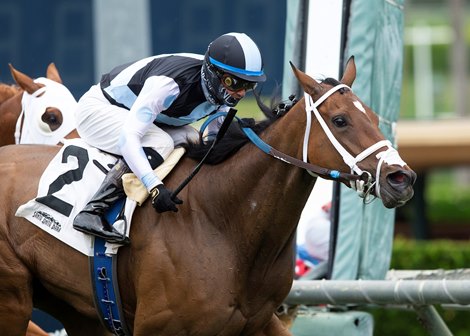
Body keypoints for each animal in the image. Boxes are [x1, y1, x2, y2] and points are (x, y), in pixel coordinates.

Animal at [0, 56, 414, 334]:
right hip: (14, 299)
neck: (224, 221)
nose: (401, 178)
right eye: (340, 120)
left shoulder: (258, 323)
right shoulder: (159, 327)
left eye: (374, 117)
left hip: (79, 309)